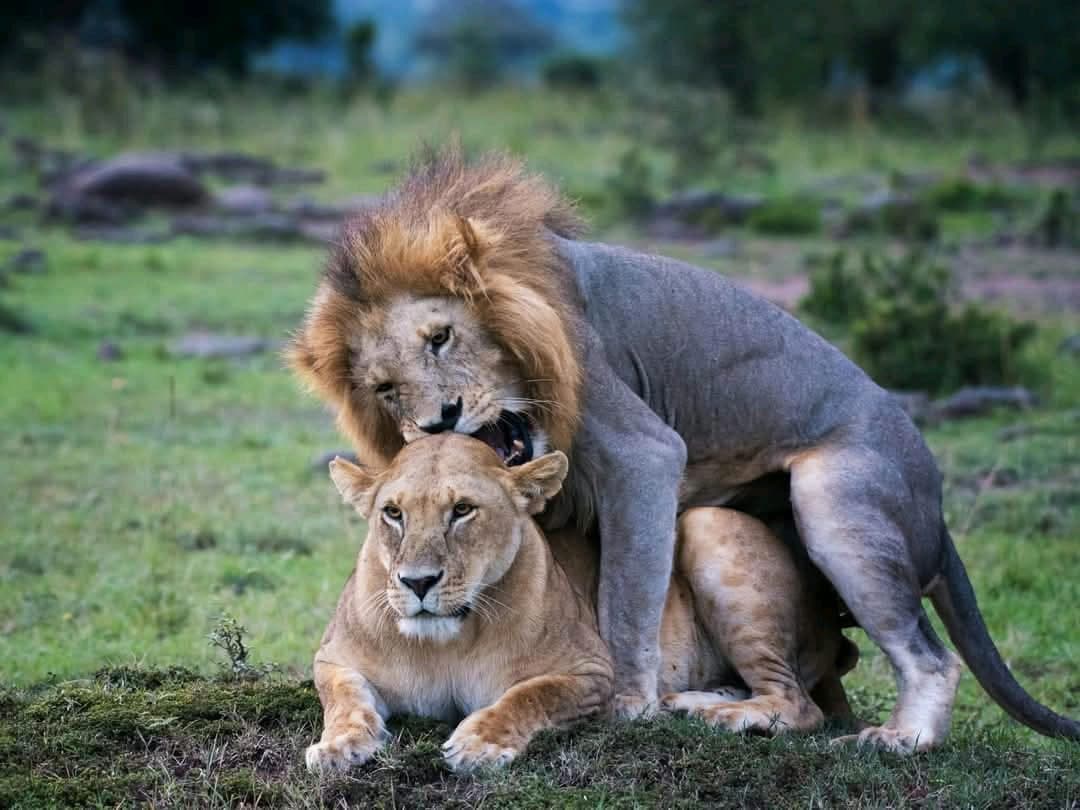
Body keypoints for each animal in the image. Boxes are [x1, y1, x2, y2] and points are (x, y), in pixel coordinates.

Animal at [305, 434, 860, 772]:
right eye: (392, 513)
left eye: (462, 510)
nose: (417, 582)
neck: (445, 643)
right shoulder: (334, 658)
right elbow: (344, 699)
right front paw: (338, 746)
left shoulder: (593, 672)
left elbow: (528, 696)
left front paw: (480, 742)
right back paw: (688, 702)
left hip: (708, 523)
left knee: (798, 703)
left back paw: (720, 717)